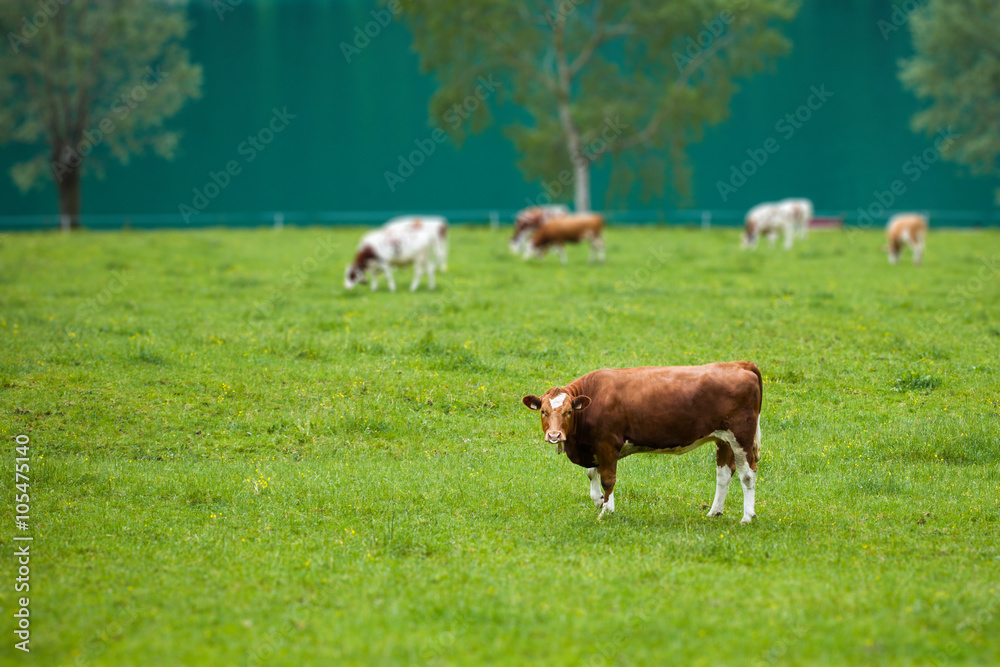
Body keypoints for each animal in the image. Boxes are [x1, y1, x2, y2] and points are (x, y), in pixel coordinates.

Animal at [520, 362, 760, 524]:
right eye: (543, 411)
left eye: (568, 412)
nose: (554, 436)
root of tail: (739, 364)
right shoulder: (593, 446)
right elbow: (592, 474)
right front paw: (599, 500)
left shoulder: (607, 444)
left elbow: (608, 479)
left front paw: (607, 510)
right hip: (723, 439)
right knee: (724, 474)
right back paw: (714, 511)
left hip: (742, 437)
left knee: (747, 475)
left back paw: (747, 516)